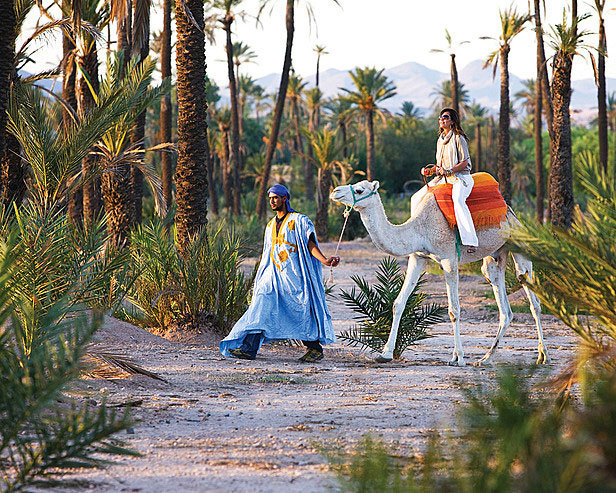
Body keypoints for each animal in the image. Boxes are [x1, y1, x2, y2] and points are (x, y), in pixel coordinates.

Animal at [330, 180, 552, 366]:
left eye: (360, 190)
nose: (335, 191)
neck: (419, 230)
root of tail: (512, 213)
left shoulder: (449, 260)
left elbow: (454, 310)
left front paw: (459, 358)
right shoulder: (417, 258)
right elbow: (399, 303)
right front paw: (385, 354)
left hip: (519, 245)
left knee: (531, 296)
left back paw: (543, 356)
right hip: (495, 255)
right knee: (504, 307)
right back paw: (486, 358)